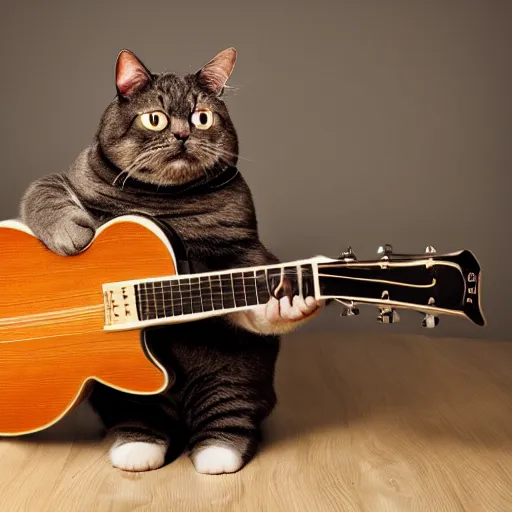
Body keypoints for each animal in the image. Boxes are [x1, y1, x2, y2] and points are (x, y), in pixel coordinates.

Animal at [21, 49, 324, 476]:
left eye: (202, 117)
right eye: (156, 118)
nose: (183, 134)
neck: (164, 201)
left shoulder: (242, 248)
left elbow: (251, 301)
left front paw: (288, 300)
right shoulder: (71, 176)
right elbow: (44, 186)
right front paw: (70, 235)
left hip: (236, 380)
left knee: (230, 420)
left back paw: (217, 453)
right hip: (127, 398)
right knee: (140, 417)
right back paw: (136, 446)